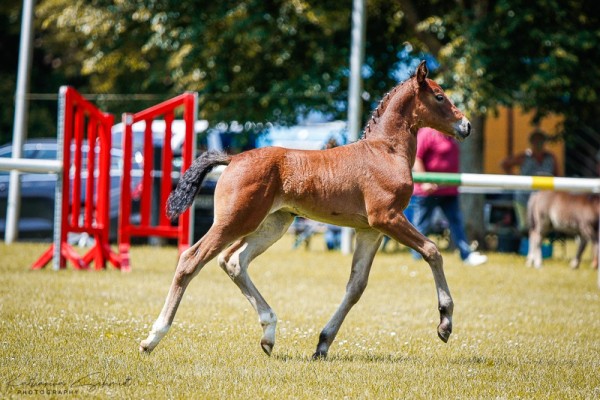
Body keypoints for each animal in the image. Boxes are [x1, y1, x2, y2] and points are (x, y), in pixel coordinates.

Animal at [138, 60, 472, 360]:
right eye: (439, 96)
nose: (466, 126)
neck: (385, 152)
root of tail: (233, 159)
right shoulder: (387, 217)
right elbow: (432, 251)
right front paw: (445, 323)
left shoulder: (370, 230)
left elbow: (356, 287)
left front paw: (322, 344)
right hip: (234, 221)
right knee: (191, 259)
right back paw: (153, 338)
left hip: (273, 224)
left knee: (234, 260)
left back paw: (269, 334)